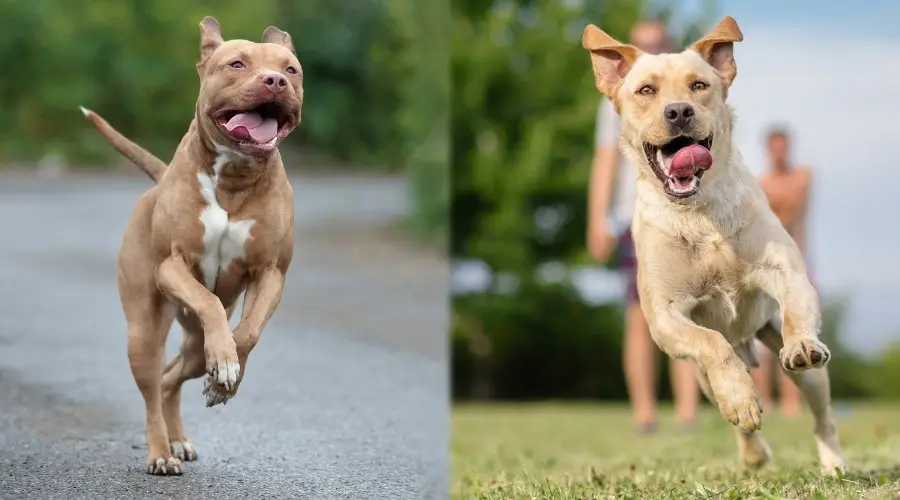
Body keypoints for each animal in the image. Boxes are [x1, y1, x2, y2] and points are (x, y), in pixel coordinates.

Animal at [80, 16, 300, 476]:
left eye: (291, 70)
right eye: (237, 63)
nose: (274, 81)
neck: (233, 175)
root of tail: (158, 180)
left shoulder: (272, 273)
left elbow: (247, 333)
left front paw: (225, 380)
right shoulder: (172, 266)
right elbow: (209, 301)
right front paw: (224, 372)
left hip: (194, 344)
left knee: (172, 376)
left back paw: (180, 435)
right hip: (144, 332)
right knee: (152, 387)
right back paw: (161, 453)